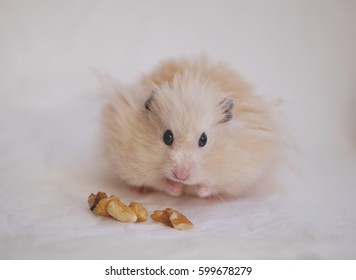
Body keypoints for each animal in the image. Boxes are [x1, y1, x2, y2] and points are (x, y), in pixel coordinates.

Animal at [101, 56, 282, 199]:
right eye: (167, 137)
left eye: (203, 140)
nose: (180, 176)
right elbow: (158, 181)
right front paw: (175, 188)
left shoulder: (241, 172)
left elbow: (214, 185)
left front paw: (199, 189)